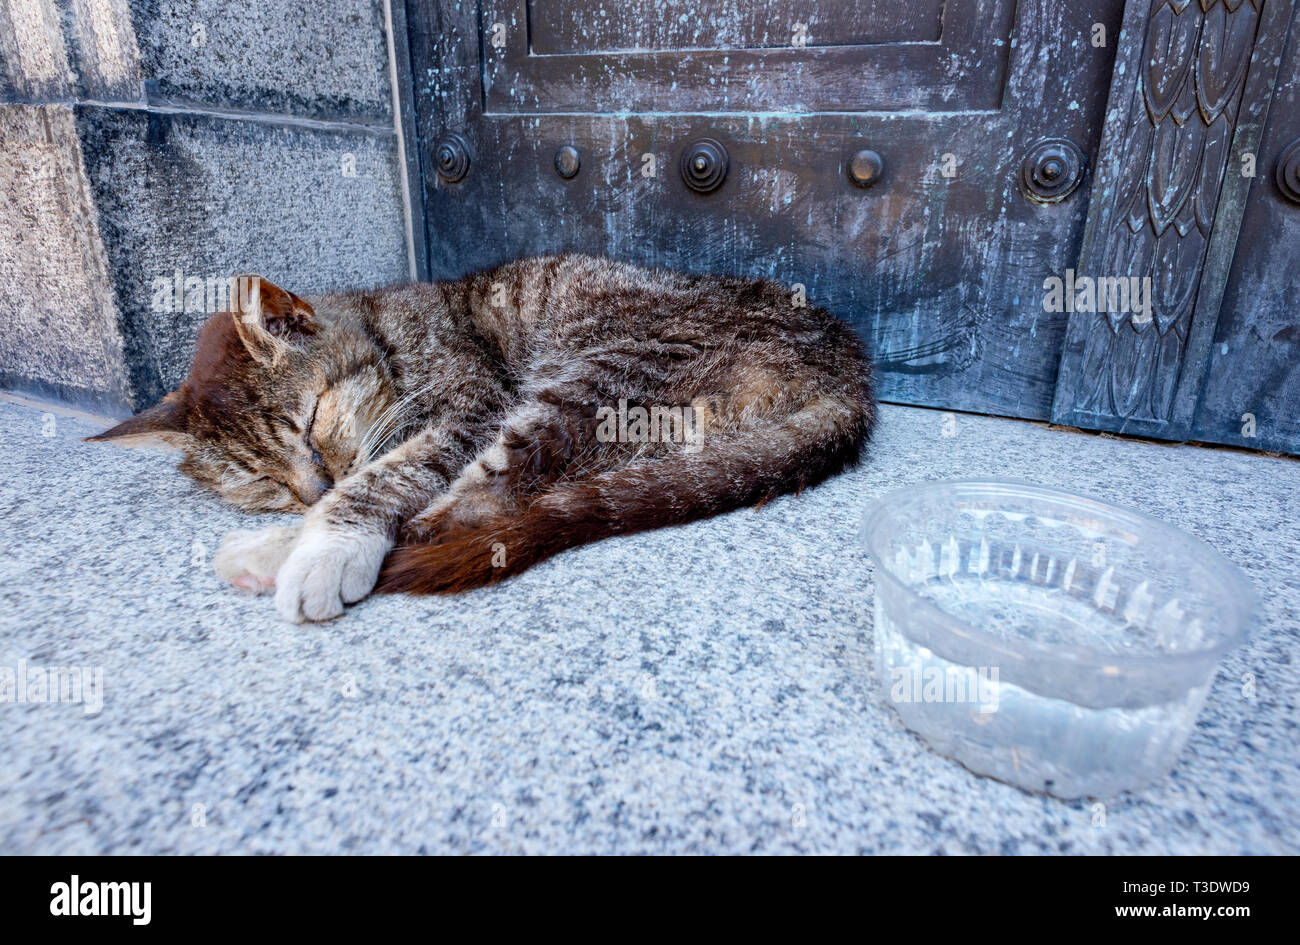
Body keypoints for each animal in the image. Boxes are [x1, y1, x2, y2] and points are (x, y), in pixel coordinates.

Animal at [89, 253, 873, 621]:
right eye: (258, 478)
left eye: (310, 421)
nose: (309, 486)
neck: (384, 328)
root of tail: (852, 374)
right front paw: (293, 525)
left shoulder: (471, 402)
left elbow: (382, 477)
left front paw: (327, 544)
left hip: (601, 371)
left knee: (475, 504)